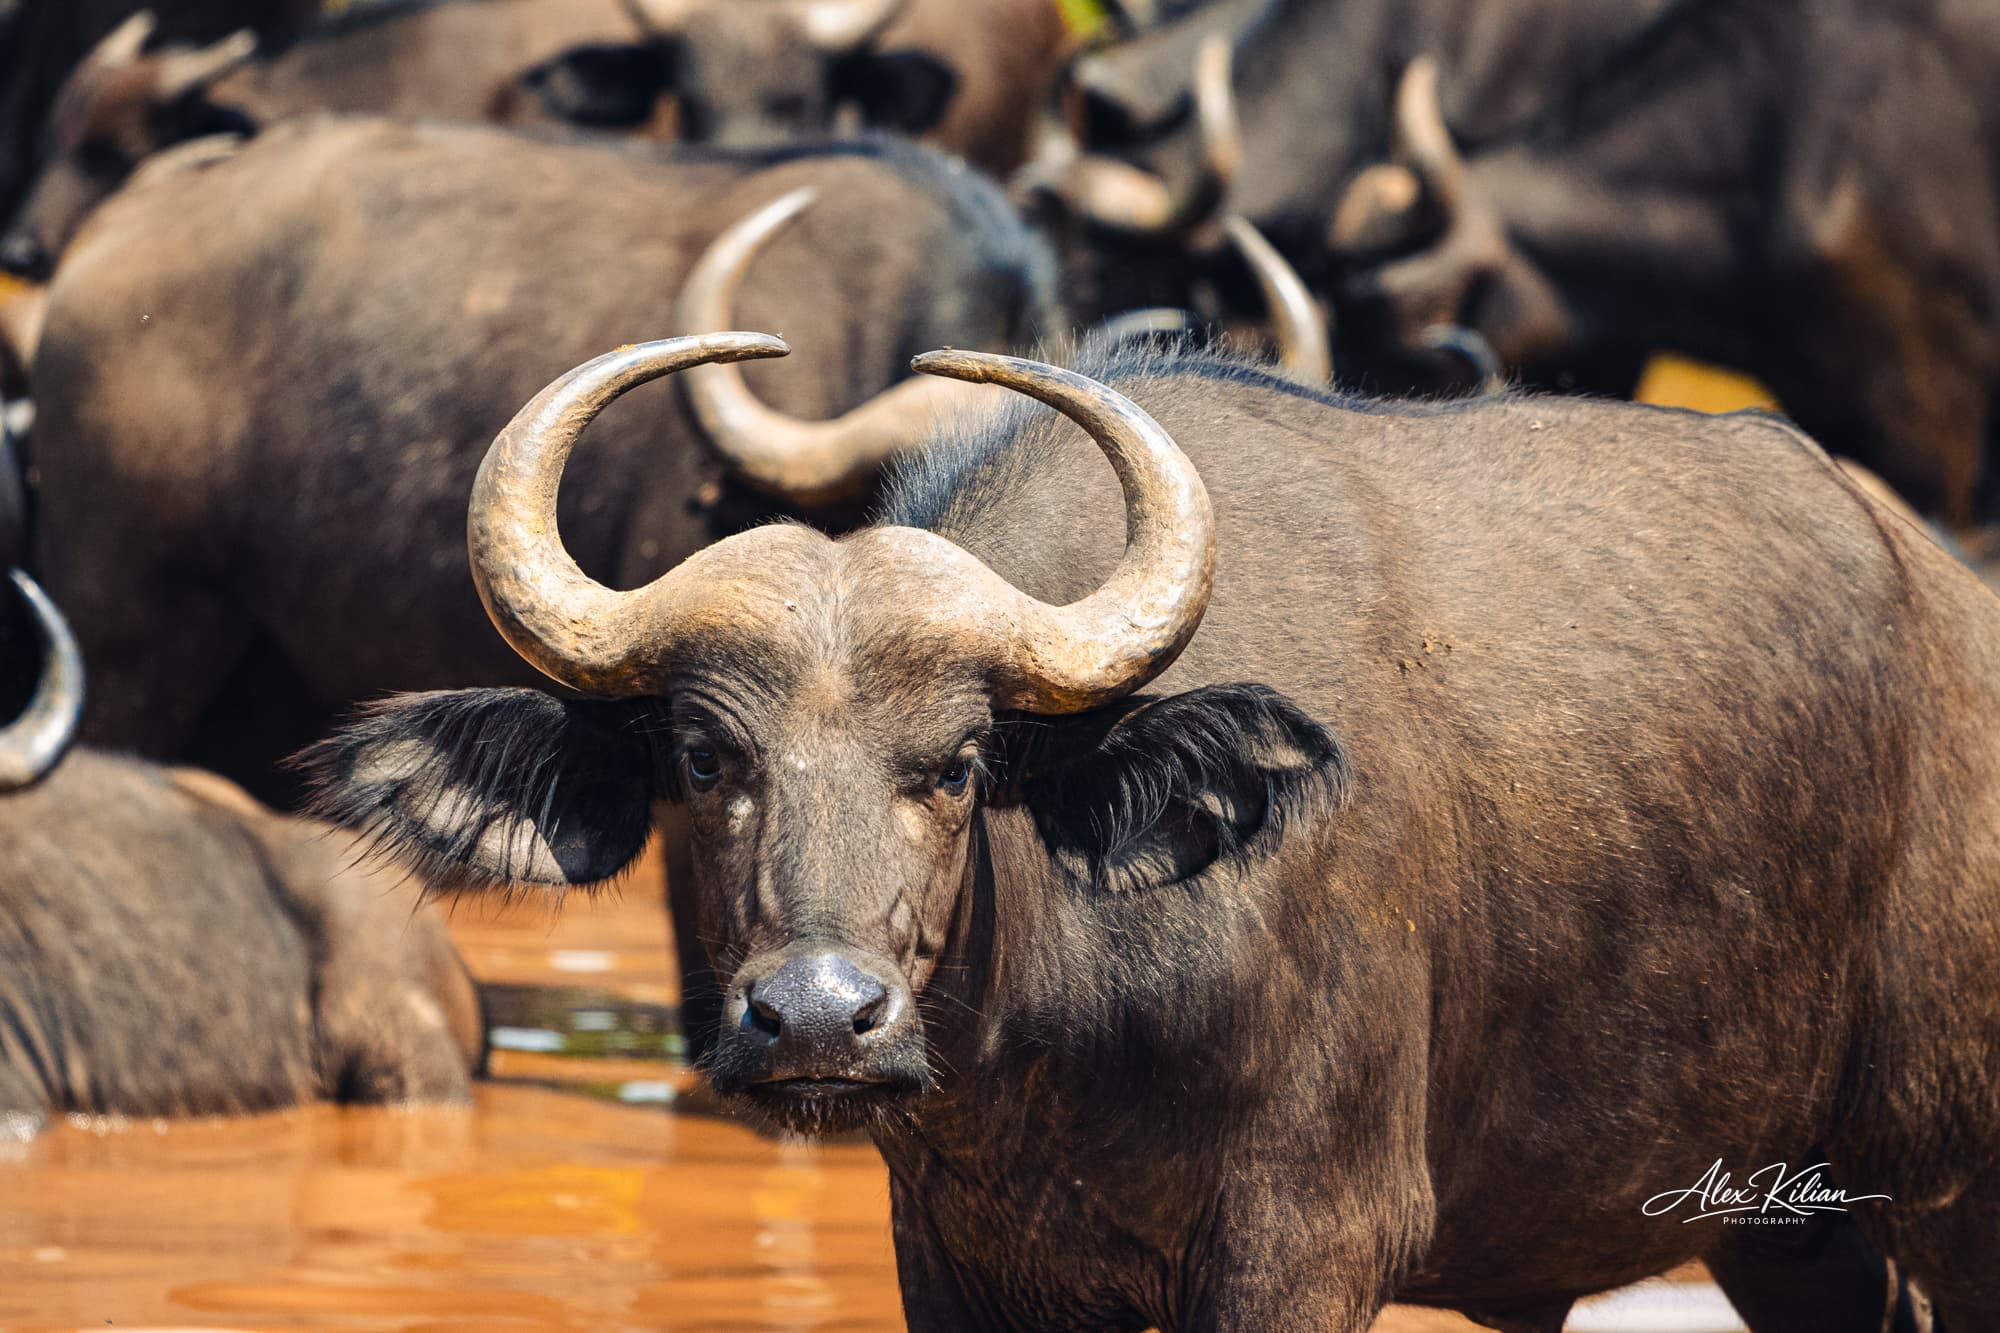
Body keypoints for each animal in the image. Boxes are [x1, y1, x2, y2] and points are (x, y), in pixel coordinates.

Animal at [308, 333, 2000, 1329]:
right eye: (709, 754)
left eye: (960, 762)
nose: (821, 1019)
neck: (1053, 1048)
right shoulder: (961, 1262)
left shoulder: (1305, 1246)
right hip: (1785, 1224)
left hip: (1954, 1175)